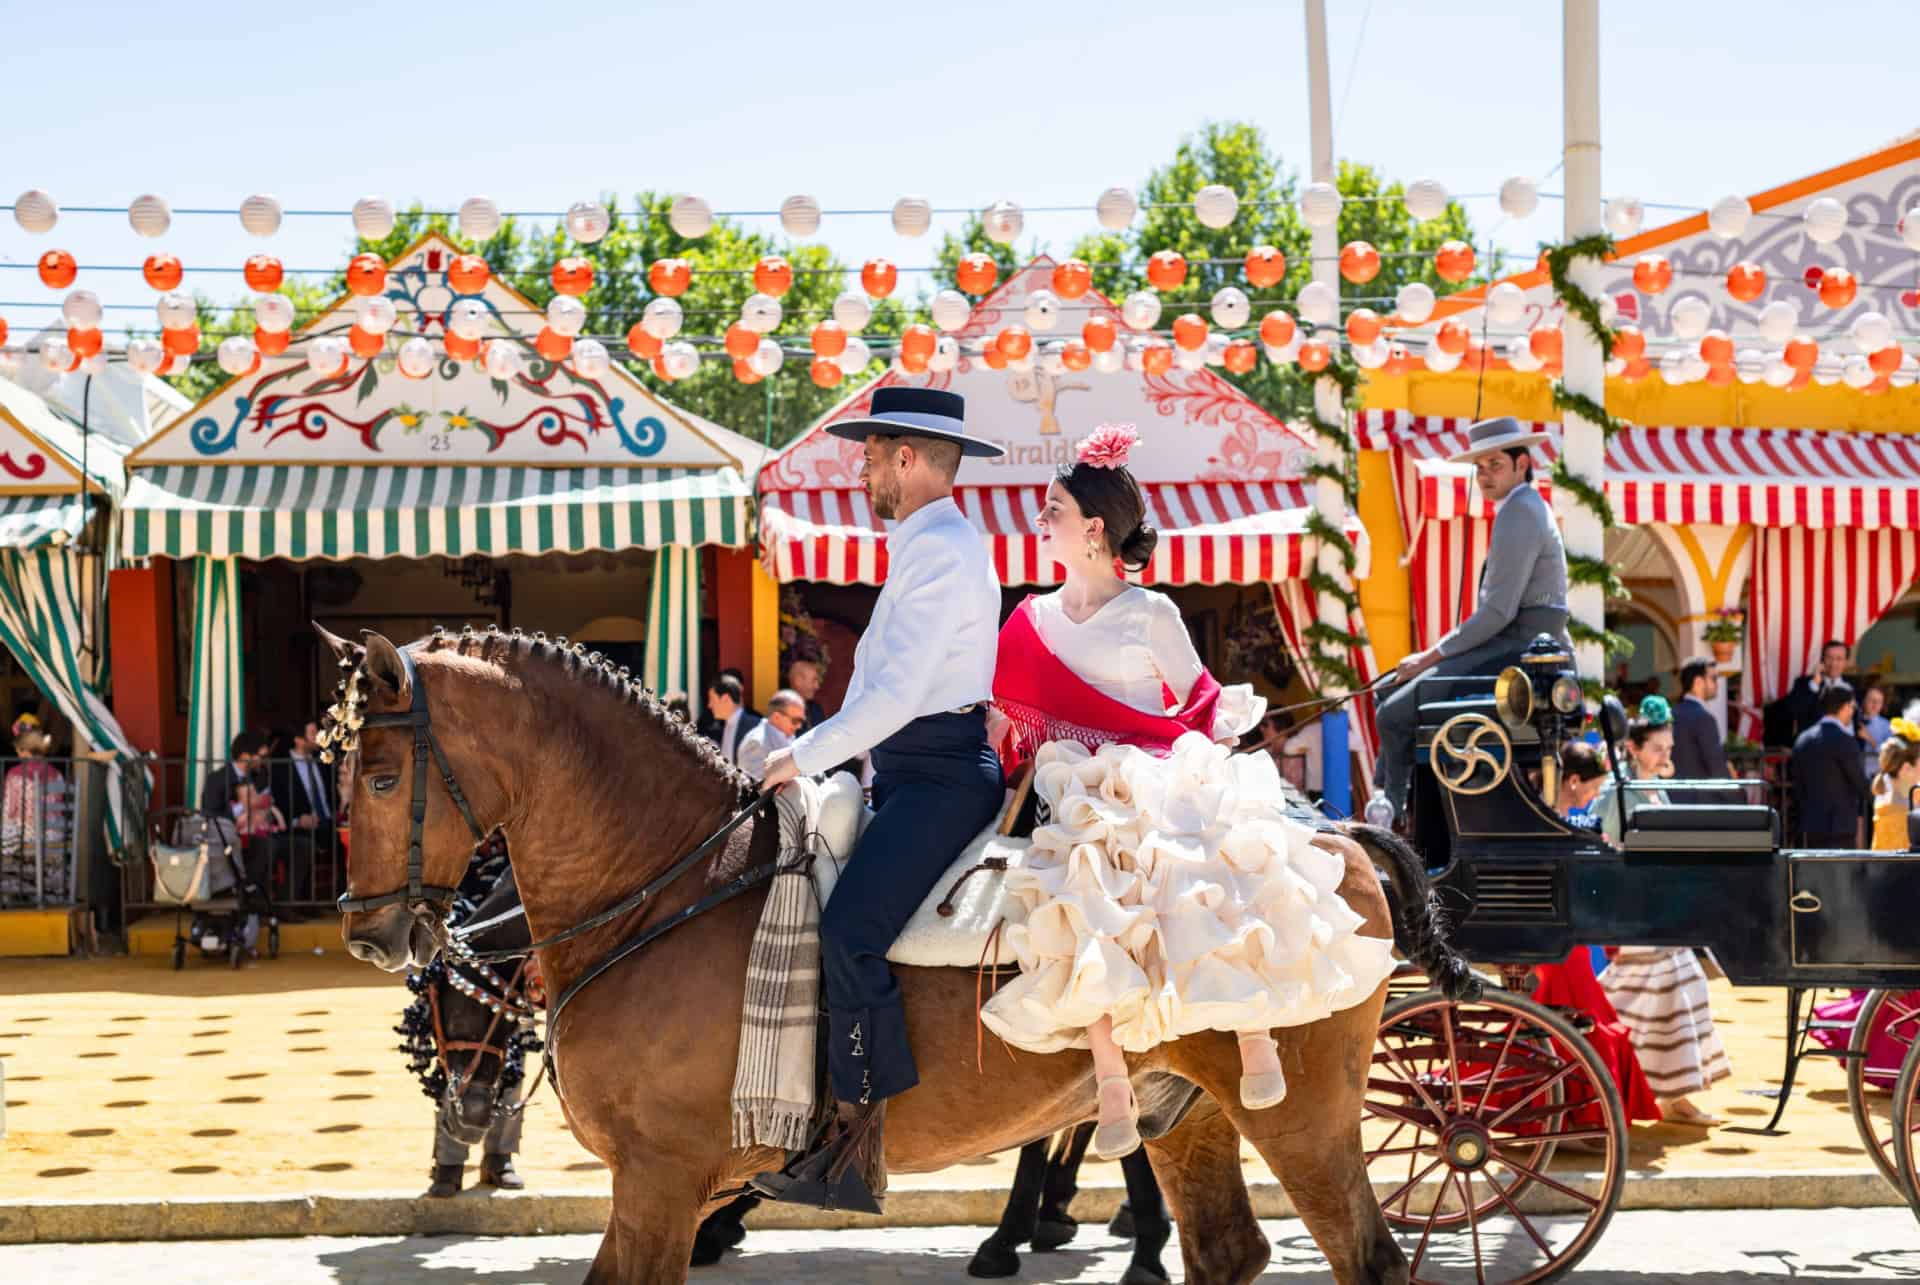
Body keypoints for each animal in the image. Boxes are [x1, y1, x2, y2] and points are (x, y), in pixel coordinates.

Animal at [330, 626, 1466, 1275]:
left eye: (381, 777)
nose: (367, 929)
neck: (668, 884)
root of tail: (1332, 831)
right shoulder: (663, 1185)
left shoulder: (658, 1179)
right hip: (1180, 1108)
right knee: (1227, 1249)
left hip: (1304, 1116)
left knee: (1368, 1256)